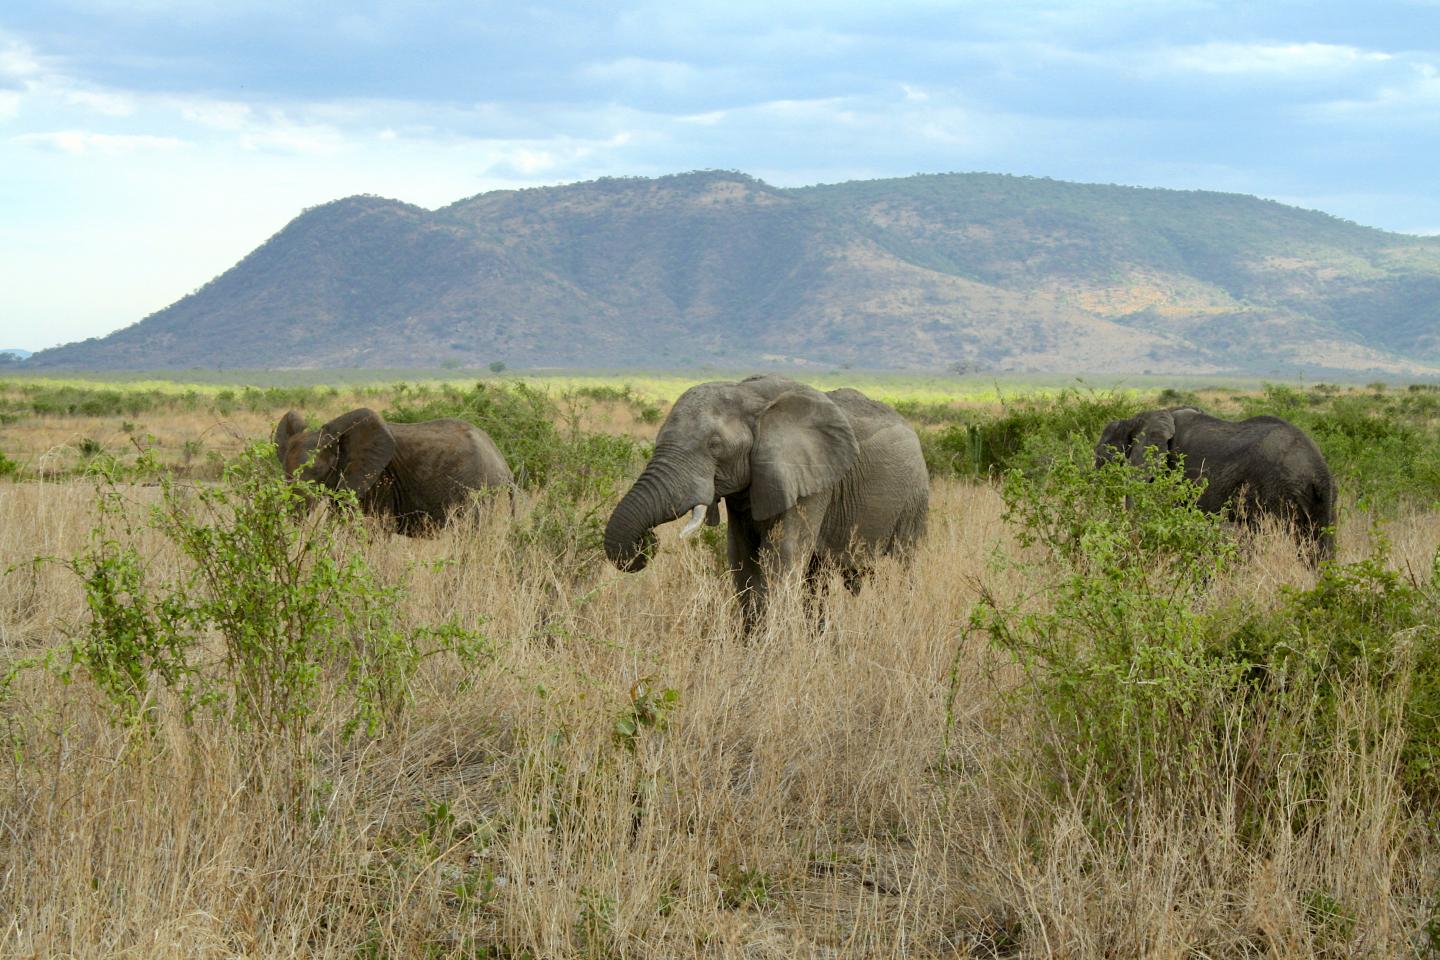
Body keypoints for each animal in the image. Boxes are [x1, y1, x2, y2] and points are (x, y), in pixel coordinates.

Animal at [601, 374, 927, 630]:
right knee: (818, 577)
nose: (649, 540)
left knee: (901, 566)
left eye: (715, 445)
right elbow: (742, 559)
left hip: (914, 498)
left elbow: (780, 557)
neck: (749, 394)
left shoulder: (810, 481)